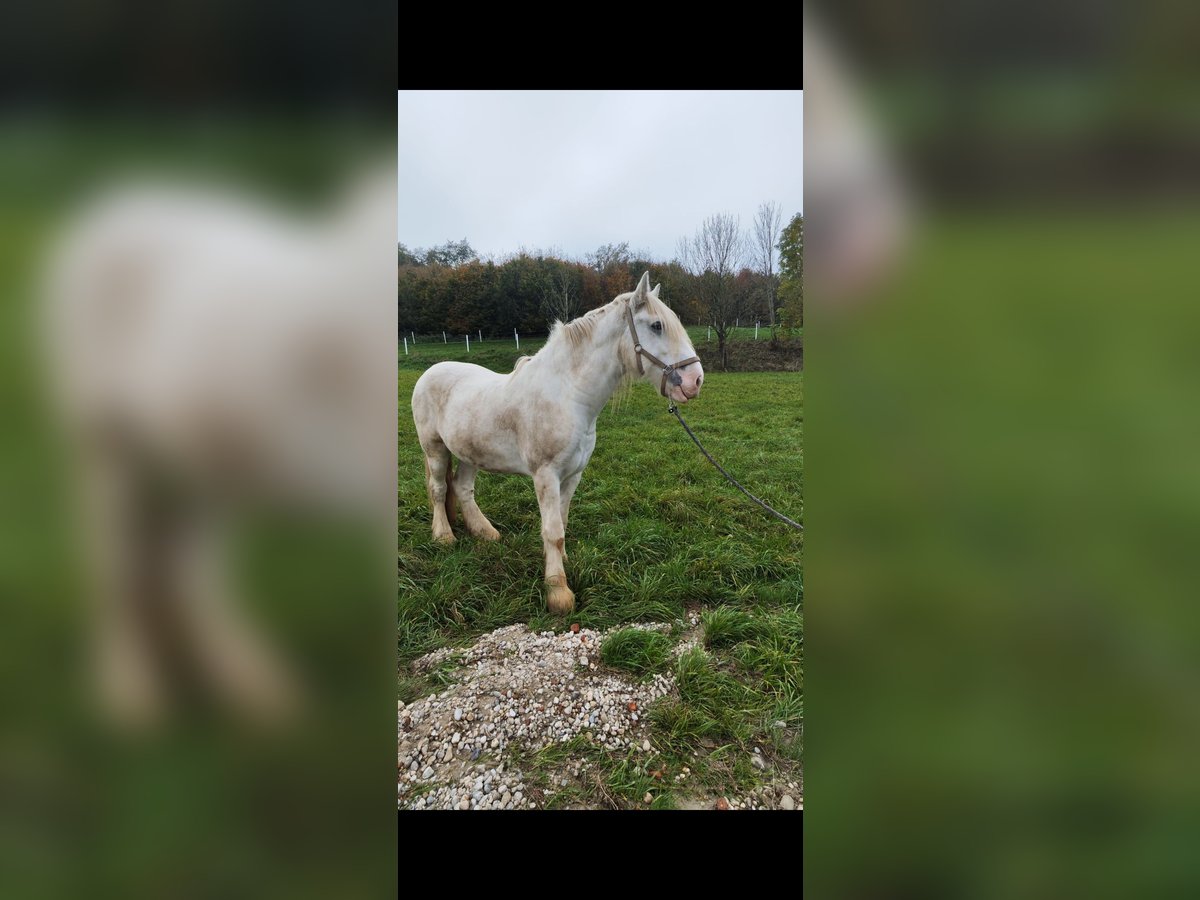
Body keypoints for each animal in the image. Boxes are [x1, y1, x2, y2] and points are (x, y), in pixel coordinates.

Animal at [410, 271, 700, 619]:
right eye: (657, 325)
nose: (695, 381)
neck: (568, 395)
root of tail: (429, 372)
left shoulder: (573, 475)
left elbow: (561, 523)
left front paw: (561, 565)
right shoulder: (546, 475)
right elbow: (553, 530)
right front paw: (558, 592)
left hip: (469, 453)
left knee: (463, 488)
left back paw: (486, 533)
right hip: (435, 448)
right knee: (439, 488)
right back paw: (443, 536)